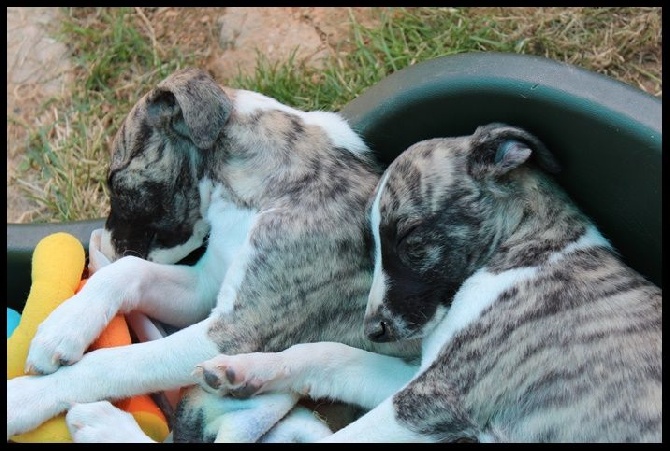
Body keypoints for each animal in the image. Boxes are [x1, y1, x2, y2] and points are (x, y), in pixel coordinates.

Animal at [7, 69, 422, 444]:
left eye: (114, 182)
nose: (103, 246)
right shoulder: (203, 288)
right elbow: (128, 271)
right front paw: (61, 328)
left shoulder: (233, 332)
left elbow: (117, 362)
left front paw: (27, 396)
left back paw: (104, 426)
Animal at [196, 125, 668, 444]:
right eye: (371, 247)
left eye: (411, 240)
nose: (374, 330)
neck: (525, 246)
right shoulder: (423, 378)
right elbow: (329, 354)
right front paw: (246, 369)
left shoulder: (434, 399)